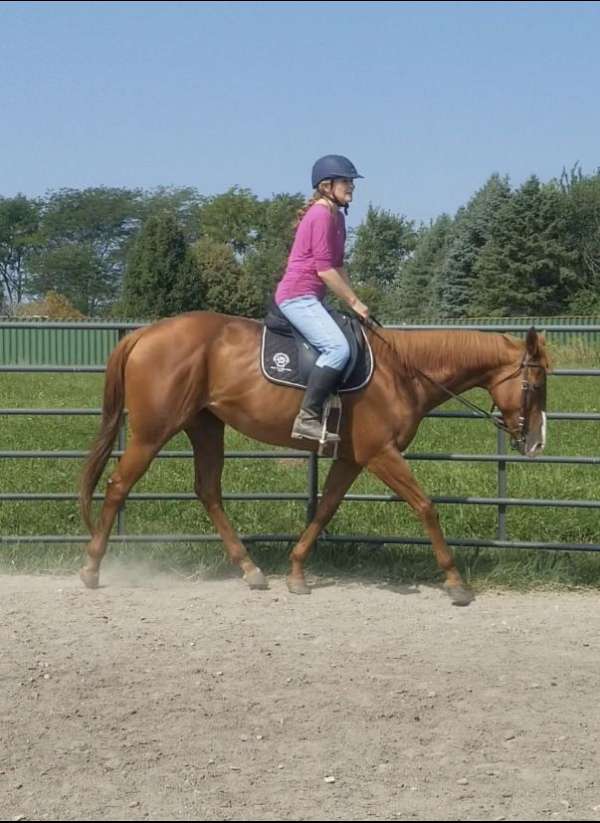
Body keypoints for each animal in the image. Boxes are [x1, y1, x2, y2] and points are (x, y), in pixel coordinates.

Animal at [76, 312, 548, 608]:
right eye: (535, 384)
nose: (536, 442)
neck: (402, 370)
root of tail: (143, 333)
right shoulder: (381, 454)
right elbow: (425, 507)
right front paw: (455, 583)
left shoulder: (353, 459)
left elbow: (324, 509)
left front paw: (297, 571)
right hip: (152, 432)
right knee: (119, 486)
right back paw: (92, 567)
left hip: (206, 427)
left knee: (208, 491)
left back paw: (250, 569)